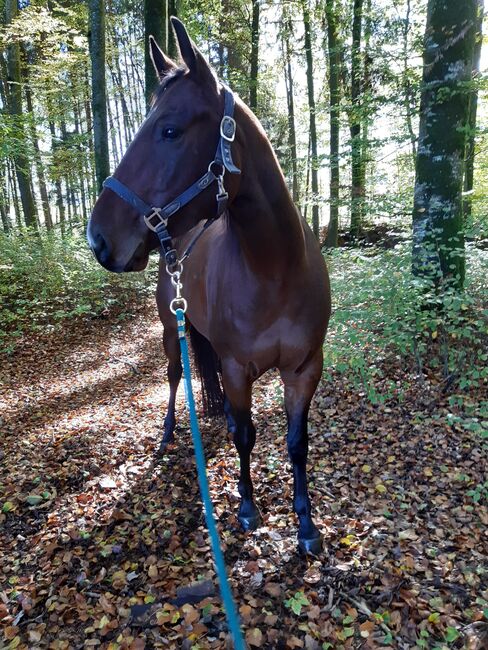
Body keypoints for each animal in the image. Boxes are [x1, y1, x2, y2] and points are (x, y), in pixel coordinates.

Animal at [87, 16, 332, 552]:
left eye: (170, 130)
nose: (98, 239)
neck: (274, 270)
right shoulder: (239, 369)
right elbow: (246, 435)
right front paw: (247, 506)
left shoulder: (304, 369)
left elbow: (297, 443)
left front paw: (306, 525)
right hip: (169, 331)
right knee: (177, 375)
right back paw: (166, 434)